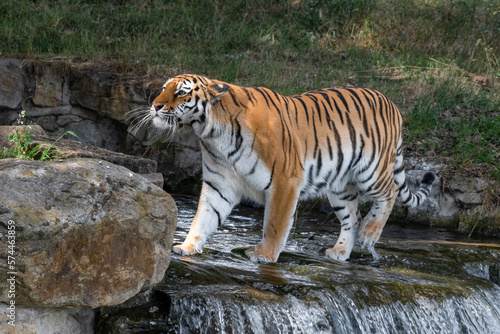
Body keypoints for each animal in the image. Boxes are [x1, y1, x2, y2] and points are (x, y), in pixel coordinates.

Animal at [131, 73, 436, 264]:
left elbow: (275, 223)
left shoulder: (284, 181)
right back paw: (339, 251)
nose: (155, 105)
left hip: (371, 170)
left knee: (391, 191)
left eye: (181, 93)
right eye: (163, 88)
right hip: (340, 187)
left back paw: (370, 232)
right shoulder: (220, 184)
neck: (212, 132)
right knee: (352, 217)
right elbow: (203, 218)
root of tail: (392, 103)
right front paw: (187, 247)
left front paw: (264, 255)